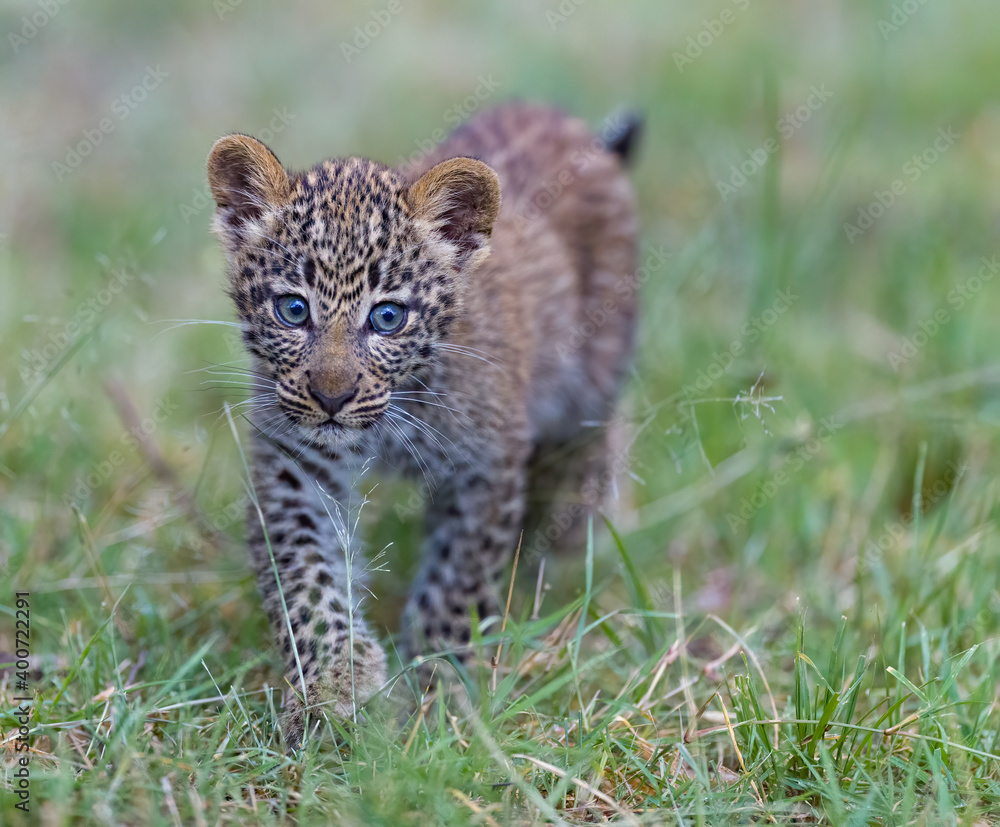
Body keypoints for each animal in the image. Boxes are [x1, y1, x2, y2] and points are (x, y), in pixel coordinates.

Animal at [206, 101, 640, 746]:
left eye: (388, 317)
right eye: (293, 309)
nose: (331, 397)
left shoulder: (486, 468)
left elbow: (457, 585)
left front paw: (434, 696)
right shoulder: (295, 464)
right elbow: (306, 578)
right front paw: (333, 688)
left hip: (592, 375)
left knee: (589, 440)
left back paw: (565, 530)